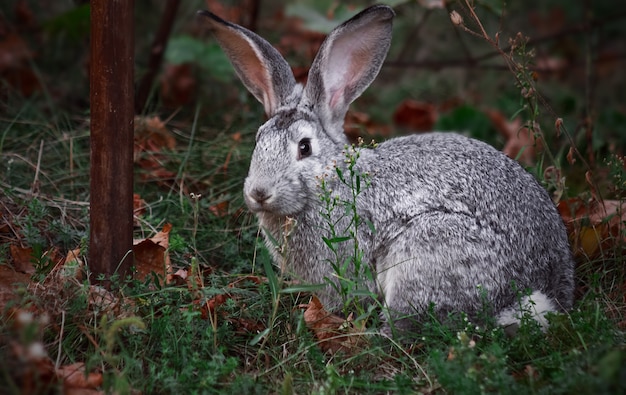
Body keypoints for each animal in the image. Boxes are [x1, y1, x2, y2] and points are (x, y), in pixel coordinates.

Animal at [197, 6, 572, 334]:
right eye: (258, 140)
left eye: (304, 147)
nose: (259, 193)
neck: (330, 181)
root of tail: (535, 294)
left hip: (426, 254)